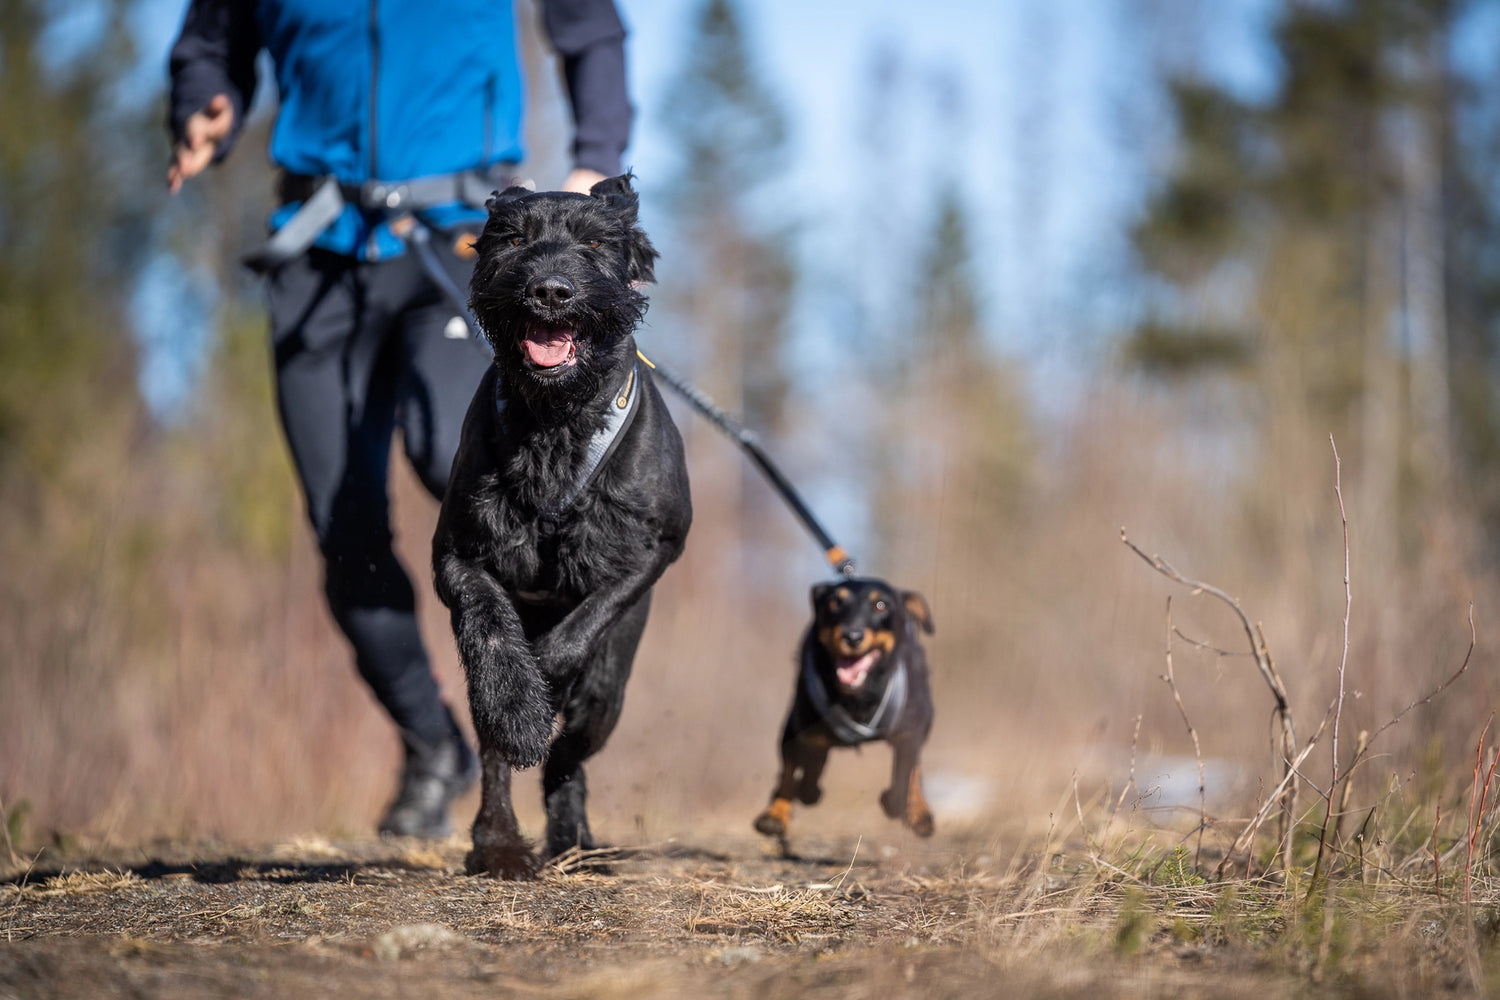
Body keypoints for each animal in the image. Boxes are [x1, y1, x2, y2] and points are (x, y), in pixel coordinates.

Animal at [435, 176, 690, 881]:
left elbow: (579, 632)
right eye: (513, 237)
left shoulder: (651, 548)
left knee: (570, 753)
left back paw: (574, 839)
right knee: (497, 749)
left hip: (610, 695)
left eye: (596, 243)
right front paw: (519, 702)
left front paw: (544, 680)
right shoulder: (459, 554)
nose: (550, 289)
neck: (556, 423)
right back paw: (498, 842)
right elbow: (492, 634)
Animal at [750, 575, 936, 839]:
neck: (858, 696)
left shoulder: (911, 730)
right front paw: (783, 808)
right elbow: (798, 770)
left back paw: (919, 812)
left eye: (881, 605)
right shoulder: (803, 729)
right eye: (835, 603)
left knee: (915, 768)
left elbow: (904, 775)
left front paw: (897, 803)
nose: (852, 635)